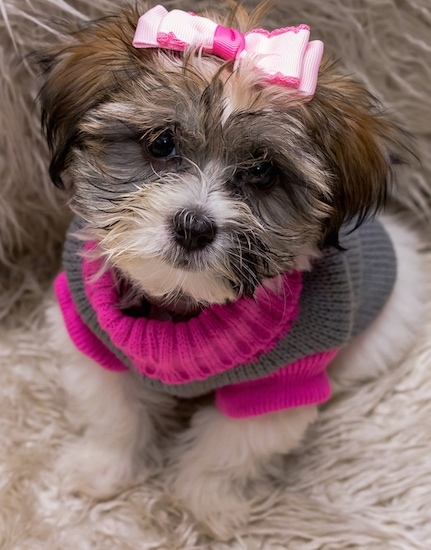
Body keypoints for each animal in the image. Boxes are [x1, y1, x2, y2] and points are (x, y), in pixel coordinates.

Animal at [39, 1, 426, 540]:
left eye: (263, 172)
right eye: (161, 143)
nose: (193, 226)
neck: (181, 303)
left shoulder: (280, 385)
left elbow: (226, 449)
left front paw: (208, 504)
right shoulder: (89, 335)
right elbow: (111, 413)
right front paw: (101, 468)